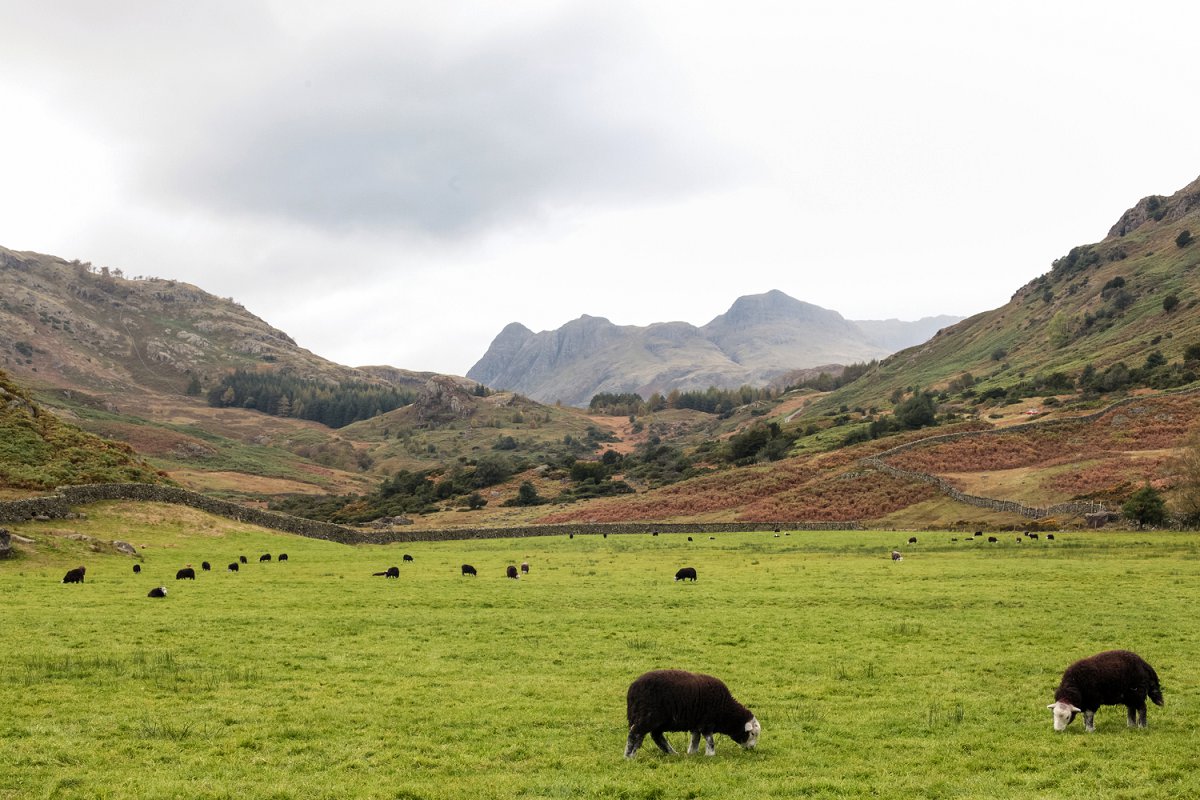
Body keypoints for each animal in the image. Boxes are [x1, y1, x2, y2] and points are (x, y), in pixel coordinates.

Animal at [619, 671, 758, 758]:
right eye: (752, 733)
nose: (752, 749)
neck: (726, 710)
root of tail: (632, 690)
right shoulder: (707, 722)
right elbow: (709, 739)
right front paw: (710, 754)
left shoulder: (696, 723)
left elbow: (695, 739)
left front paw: (692, 753)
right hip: (649, 716)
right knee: (635, 734)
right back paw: (629, 756)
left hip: (654, 720)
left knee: (654, 736)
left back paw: (672, 753)